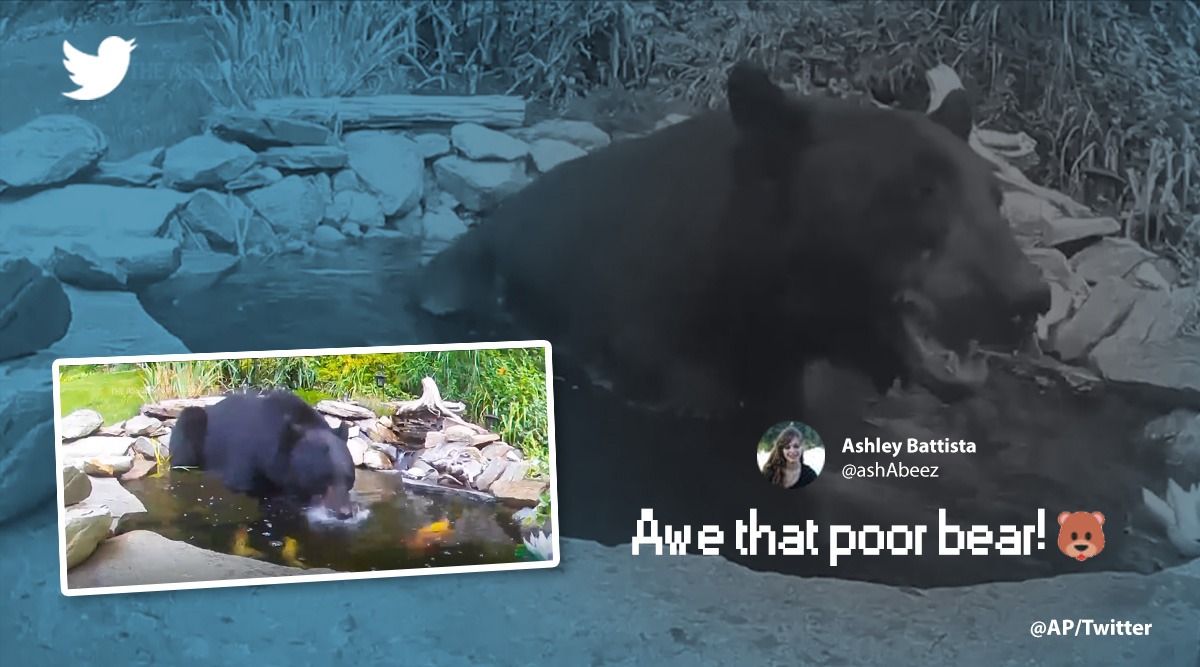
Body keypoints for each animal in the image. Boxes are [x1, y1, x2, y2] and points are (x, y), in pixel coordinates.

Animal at [169, 389, 357, 520]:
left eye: (349, 480)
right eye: (324, 479)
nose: (345, 513)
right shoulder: (246, 453)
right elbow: (242, 483)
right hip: (193, 424)